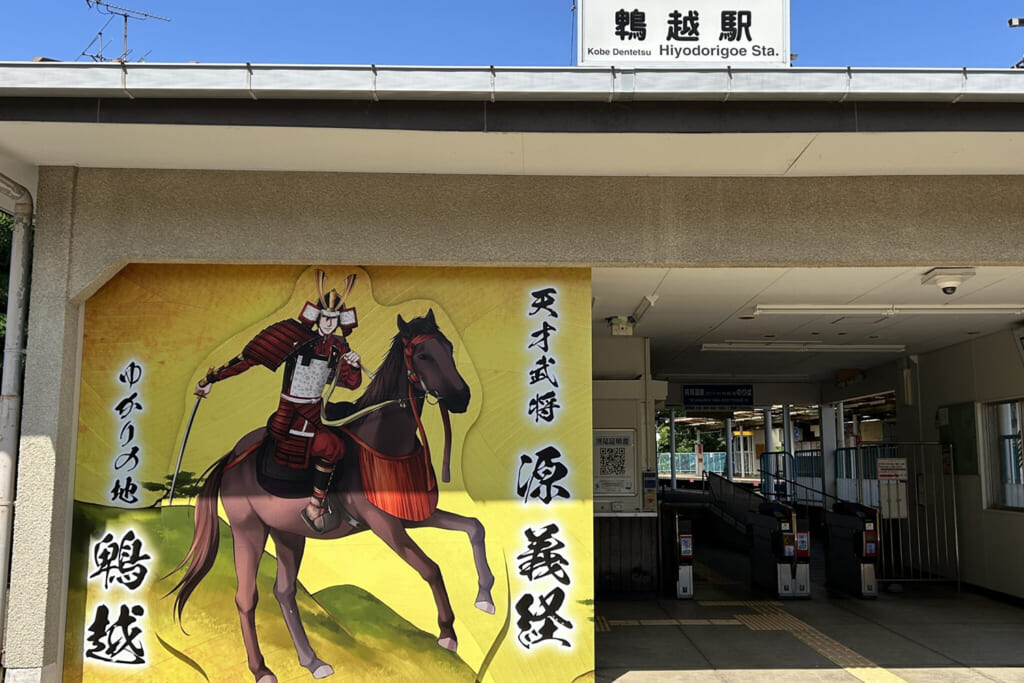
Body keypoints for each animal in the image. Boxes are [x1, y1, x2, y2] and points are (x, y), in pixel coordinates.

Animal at [168, 313, 495, 683]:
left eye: (449, 348)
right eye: (423, 355)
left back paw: (312, 661)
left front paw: (485, 596)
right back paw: (262, 669)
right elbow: (431, 568)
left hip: (287, 534)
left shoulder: (412, 514)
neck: (382, 440)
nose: (461, 399)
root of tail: (232, 458)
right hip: (247, 528)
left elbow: (474, 526)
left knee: (284, 592)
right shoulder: (385, 525)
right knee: (246, 598)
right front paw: (448, 632)